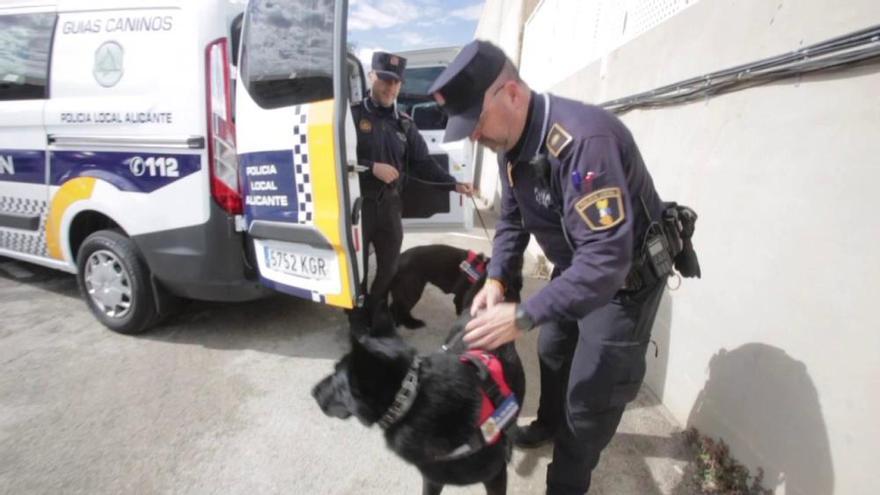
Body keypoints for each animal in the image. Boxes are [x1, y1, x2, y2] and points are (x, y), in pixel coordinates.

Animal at [388, 245, 520, 330]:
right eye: (508, 288)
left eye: (520, 287)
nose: (518, 302)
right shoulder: (462, 299)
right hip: (411, 291)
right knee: (399, 309)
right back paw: (410, 323)